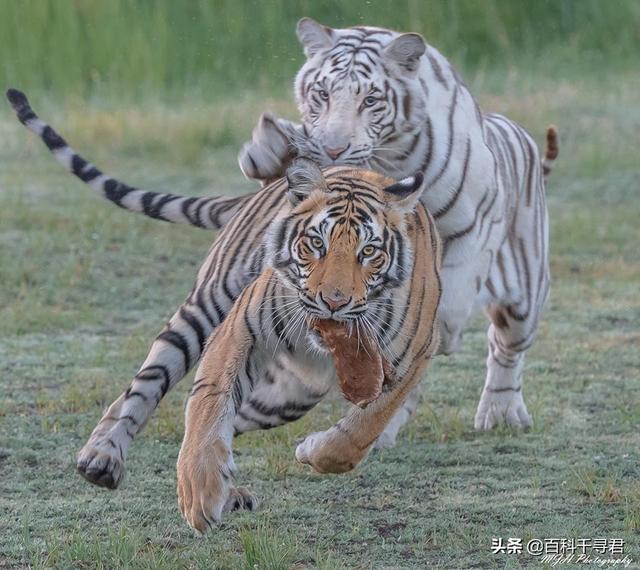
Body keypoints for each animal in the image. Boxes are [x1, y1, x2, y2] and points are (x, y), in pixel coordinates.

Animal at [5, 17, 558, 489]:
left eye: (371, 99)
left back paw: (500, 413)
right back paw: (104, 455)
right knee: (149, 384)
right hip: (207, 311)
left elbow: (379, 402)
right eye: (320, 94)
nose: (331, 149)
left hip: (522, 298)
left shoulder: (450, 274)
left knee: (504, 349)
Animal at [176, 157, 441, 531]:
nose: (333, 302)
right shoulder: (242, 326)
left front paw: (311, 450)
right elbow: (209, 400)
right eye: (317, 243)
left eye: (368, 251)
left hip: (289, 397)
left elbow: (362, 430)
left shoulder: (410, 358)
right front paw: (199, 491)